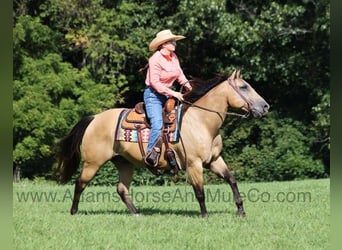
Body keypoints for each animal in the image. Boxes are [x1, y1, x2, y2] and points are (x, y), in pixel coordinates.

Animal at [54, 70, 270, 217]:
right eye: (244, 87)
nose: (265, 106)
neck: (201, 121)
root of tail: (95, 118)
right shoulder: (194, 164)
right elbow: (199, 191)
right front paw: (205, 215)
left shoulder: (214, 160)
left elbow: (232, 180)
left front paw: (240, 211)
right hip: (93, 163)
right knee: (80, 183)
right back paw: (74, 211)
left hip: (124, 163)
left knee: (122, 189)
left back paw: (137, 213)